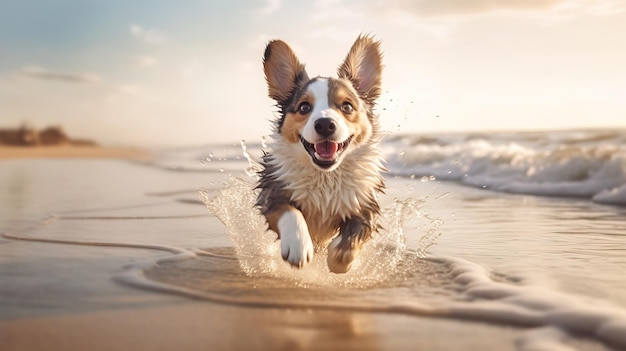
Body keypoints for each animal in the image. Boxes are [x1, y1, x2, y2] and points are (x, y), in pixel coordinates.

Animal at [255, 34, 382, 274]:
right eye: (304, 107)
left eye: (347, 107)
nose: (324, 124)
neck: (325, 176)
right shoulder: (272, 193)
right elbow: (290, 213)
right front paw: (298, 246)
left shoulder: (364, 206)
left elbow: (352, 238)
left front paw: (337, 258)